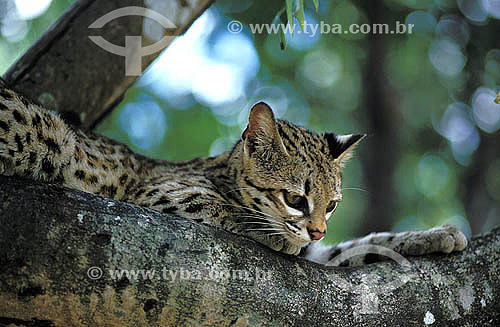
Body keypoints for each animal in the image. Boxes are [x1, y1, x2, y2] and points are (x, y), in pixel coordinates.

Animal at [0, 82, 466, 266]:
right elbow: (226, 210)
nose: (316, 230)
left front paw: (434, 234)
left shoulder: (321, 250)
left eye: (332, 205)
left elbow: (355, 246)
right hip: (50, 136)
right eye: (295, 199)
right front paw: (274, 233)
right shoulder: (156, 191)